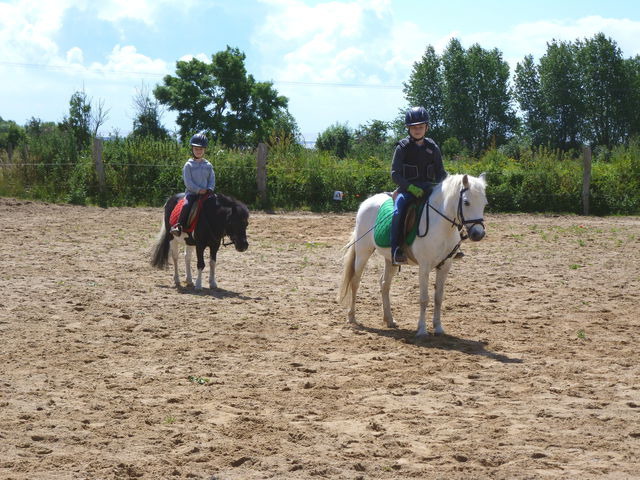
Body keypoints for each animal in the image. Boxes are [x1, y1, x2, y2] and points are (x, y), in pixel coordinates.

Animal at [338, 173, 488, 338]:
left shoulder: (445, 266)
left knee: (384, 284)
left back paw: (389, 319)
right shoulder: (424, 266)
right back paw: (352, 317)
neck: (441, 226)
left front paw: (438, 328)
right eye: (466, 202)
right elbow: (424, 299)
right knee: (355, 281)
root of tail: (367, 202)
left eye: (484, 203)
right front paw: (422, 330)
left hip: (390, 259)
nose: (478, 234)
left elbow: (438, 298)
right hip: (363, 252)